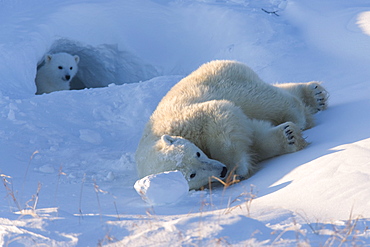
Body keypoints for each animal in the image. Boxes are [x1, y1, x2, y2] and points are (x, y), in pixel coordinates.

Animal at [135, 59, 326, 189]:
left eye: (197, 153)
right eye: (192, 174)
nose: (222, 170)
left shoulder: (187, 120)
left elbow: (220, 113)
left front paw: (236, 169)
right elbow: (253, 134)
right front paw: (288, 136)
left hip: (226, 82)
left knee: (261, 99)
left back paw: (302, 109)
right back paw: (315, 95)